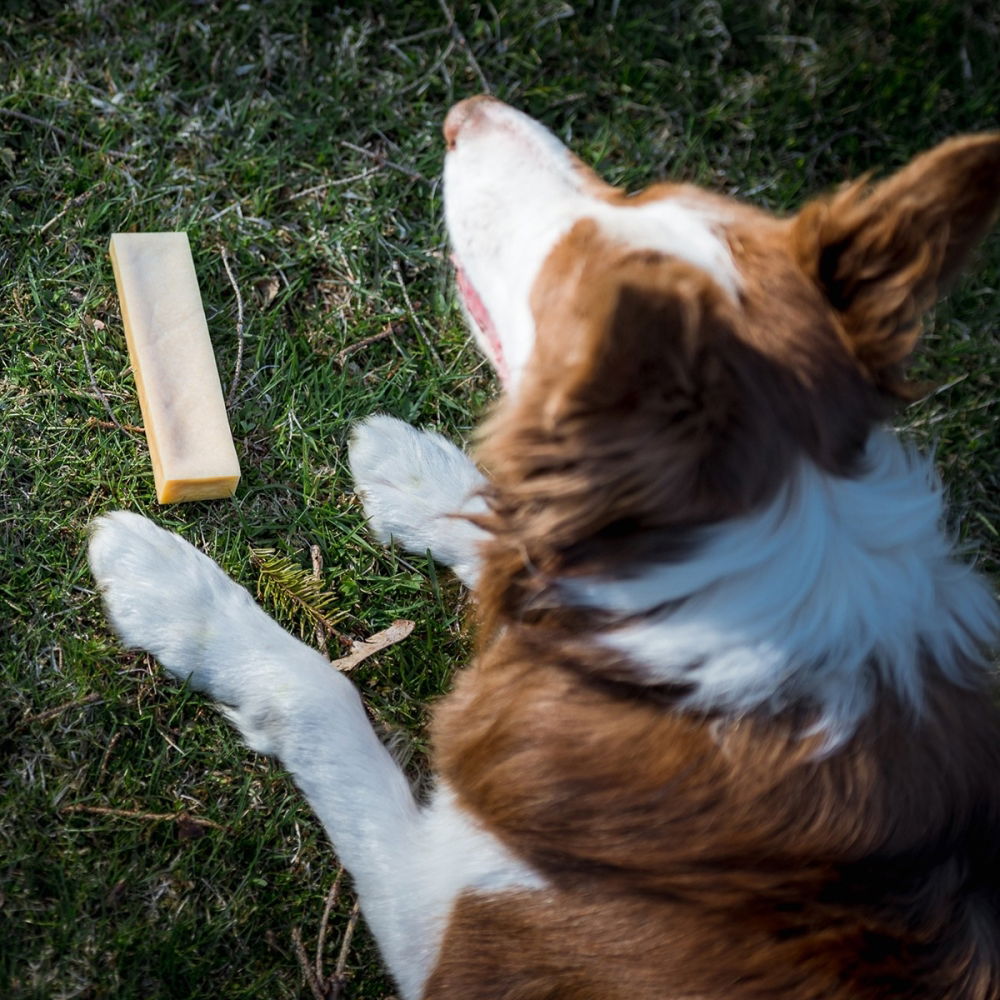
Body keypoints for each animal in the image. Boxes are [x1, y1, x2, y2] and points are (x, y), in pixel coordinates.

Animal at [90, 95, 1000, 1000]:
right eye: (647, 194)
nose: (466, 111)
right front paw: (412, 473)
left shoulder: (446, 932)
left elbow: (324, 695)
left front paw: (171, 591)